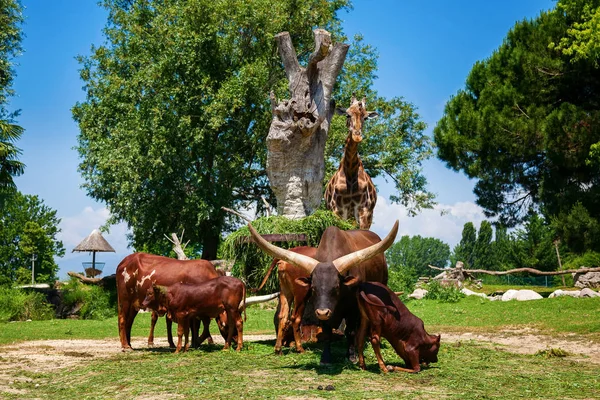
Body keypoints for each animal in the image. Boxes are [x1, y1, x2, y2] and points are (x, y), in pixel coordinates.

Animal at [248, 220, 398, 364]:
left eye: (336, 287)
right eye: (313, 287)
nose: (323, 312)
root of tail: (282, 261)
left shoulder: (351, 306)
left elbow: (350, 330)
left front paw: (351, 355)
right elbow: (330, 331)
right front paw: (328, 357)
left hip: (285, 292)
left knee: (283, 317)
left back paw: (279, 348)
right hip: (300, 295)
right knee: (295, 318)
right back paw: (299, 348)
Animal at [326, 95, 378, 230]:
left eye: (366, 117)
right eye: (347, 115)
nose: (357, 136)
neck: (350, 171)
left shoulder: (364, 211)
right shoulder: (337, 209)